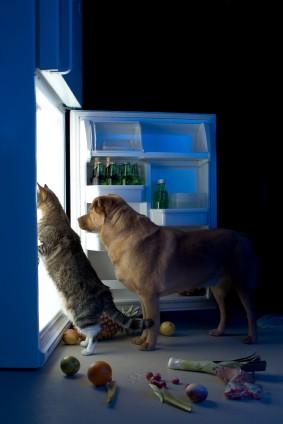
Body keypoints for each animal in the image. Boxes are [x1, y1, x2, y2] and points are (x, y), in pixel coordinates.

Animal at [37, 183, 154, 354]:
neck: (55, 215)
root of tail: (105, 292)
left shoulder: (46, 246)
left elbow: (38, 247)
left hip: (80, 316)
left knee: (95, 331)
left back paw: (88, 350)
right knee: (93, 329)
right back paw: (85, 343)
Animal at [78, 195, 260, 352]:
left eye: (92, 210)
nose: (77, 219)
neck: (124, 232)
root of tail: (242, 236)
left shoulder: (150, 296)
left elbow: (153, 323)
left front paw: (149, 345)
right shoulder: (143, 298)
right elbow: (146, 321)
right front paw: (142, 340)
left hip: (243, 286)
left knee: (251, 314)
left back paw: (252, 337)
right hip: (218, 290)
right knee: (224, 311)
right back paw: (220, 331)